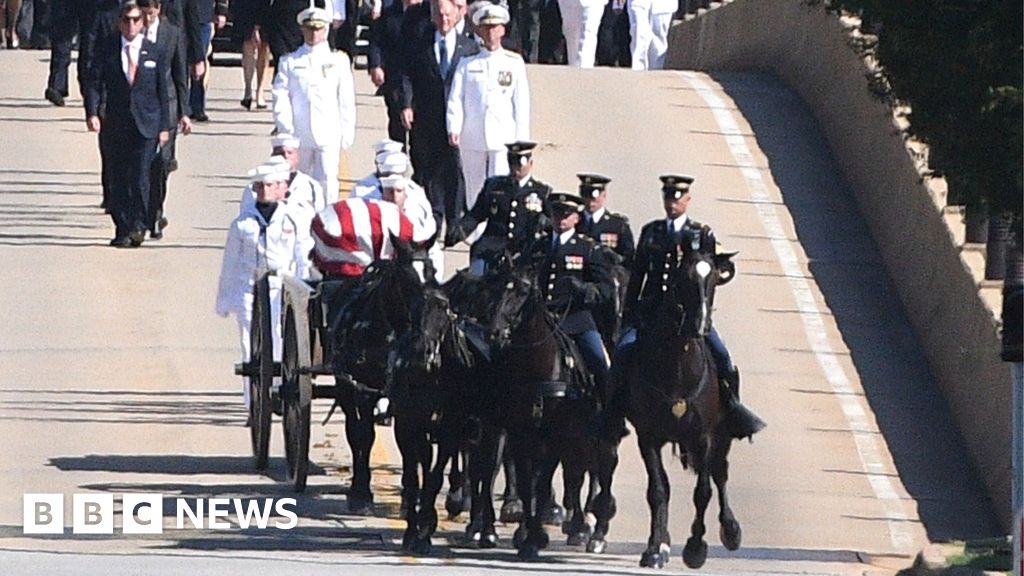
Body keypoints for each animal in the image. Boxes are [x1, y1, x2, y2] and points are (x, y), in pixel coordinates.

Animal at [622, 243, 745, 565]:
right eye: (682, 279)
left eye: (713, 280)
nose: (699, 325)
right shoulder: (648, 437)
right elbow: (658, 490)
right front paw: (654, 547)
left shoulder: (703, 436)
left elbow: (703, 491)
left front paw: (695, 548)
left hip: (722, 434)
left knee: (719, 473)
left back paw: (731, 530)